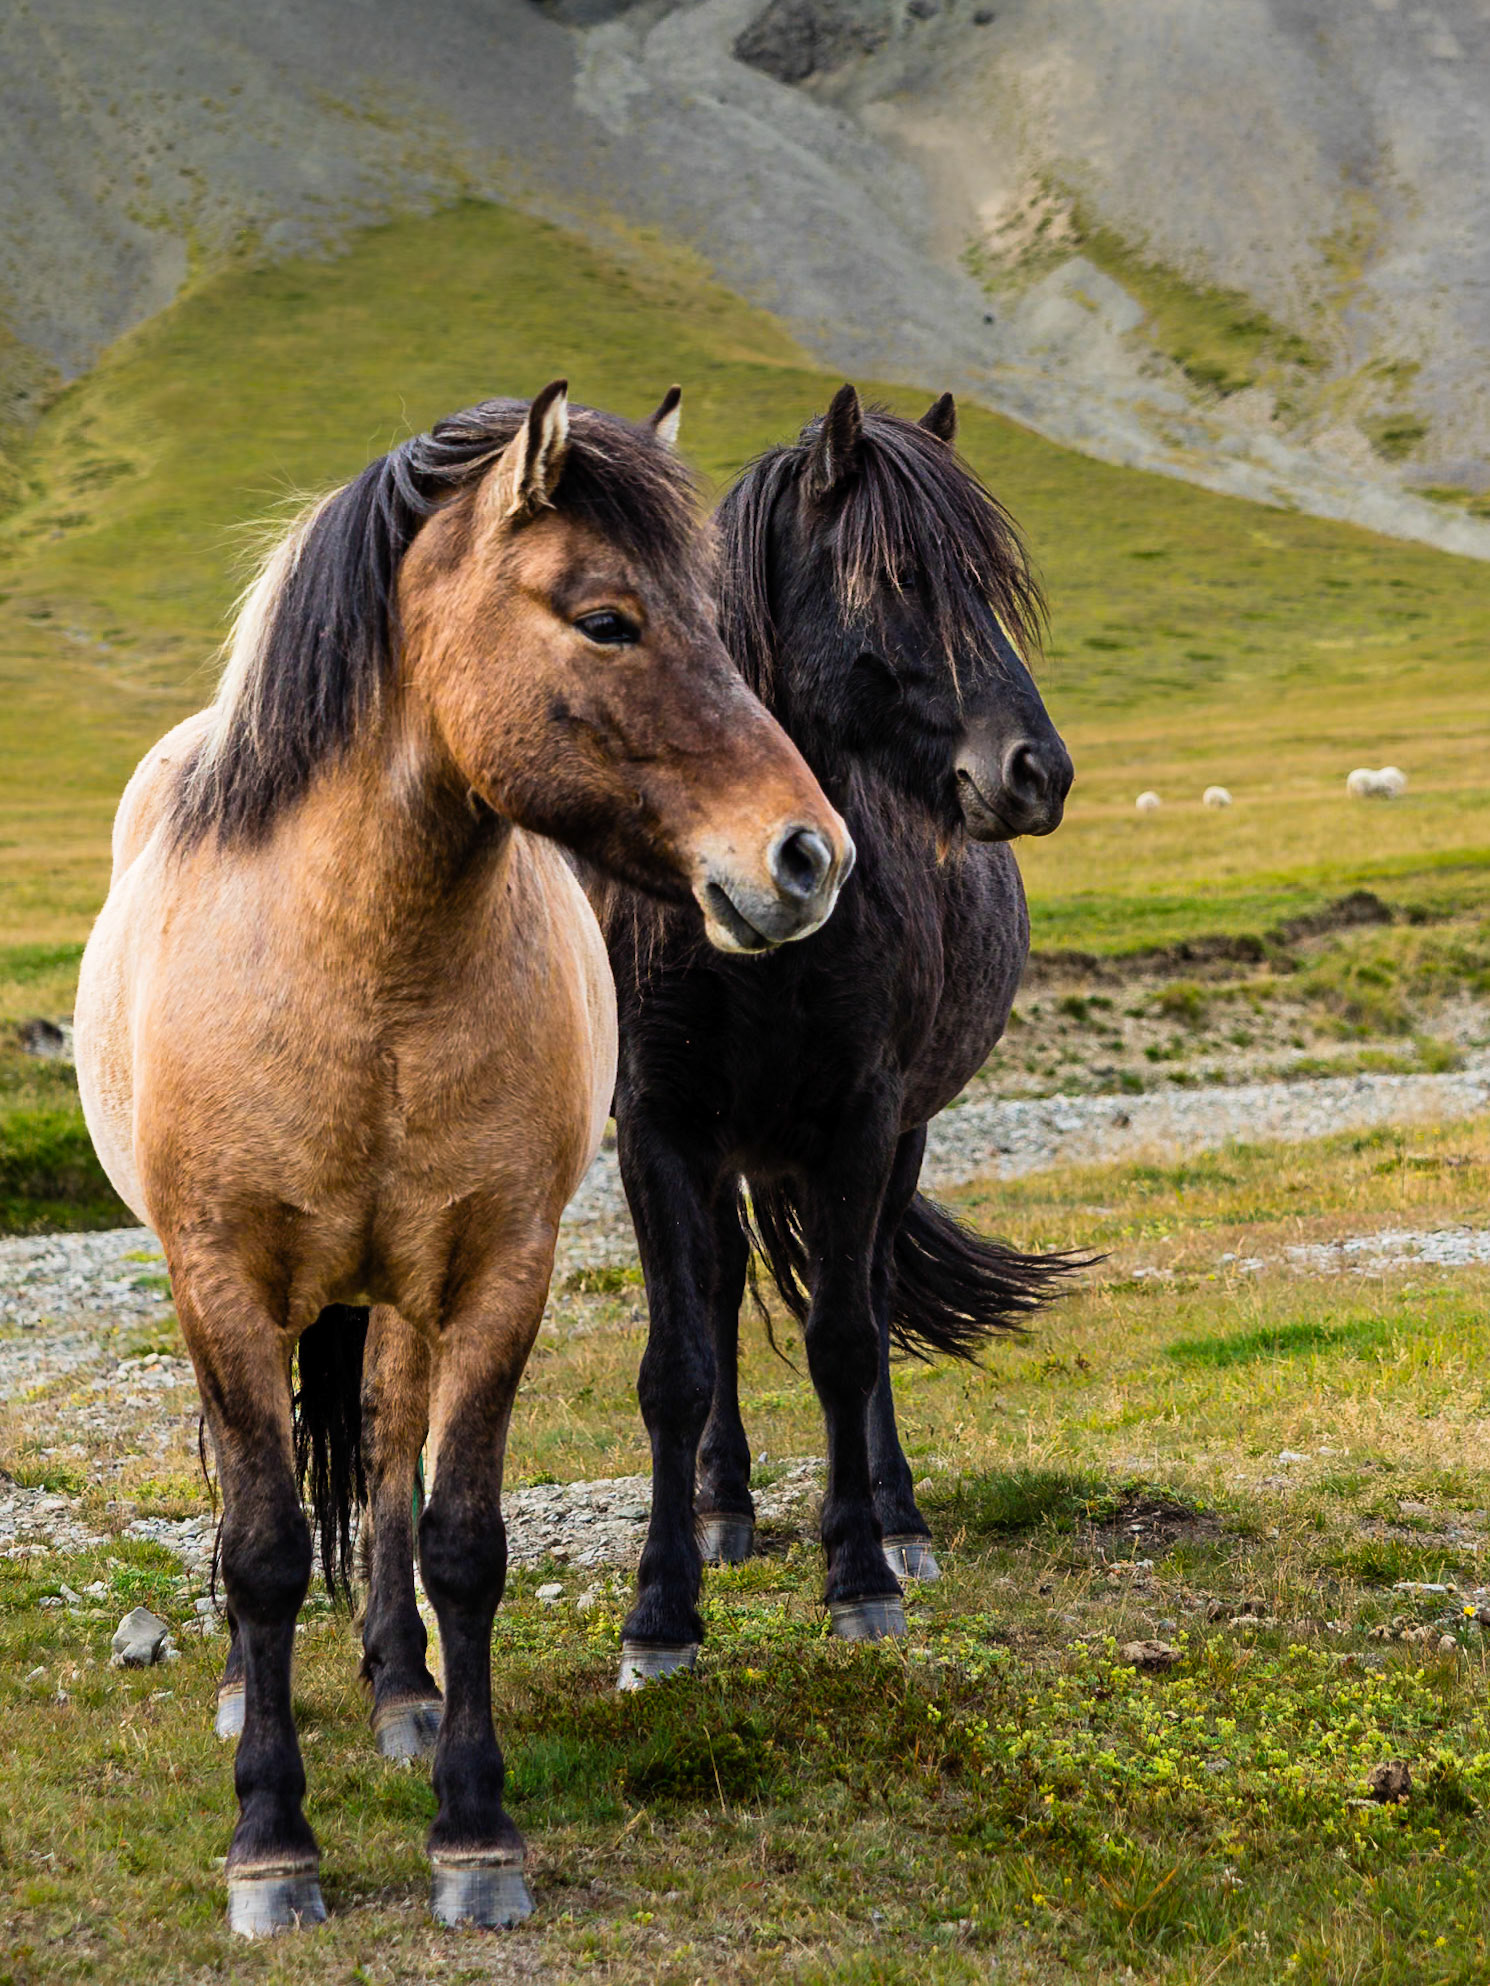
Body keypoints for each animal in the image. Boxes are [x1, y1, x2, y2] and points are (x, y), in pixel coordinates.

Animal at [73, 381, 853, 1938]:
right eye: (605, 619)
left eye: (713, 617)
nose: (809, 859)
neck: (363, 968)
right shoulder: (220, 1277)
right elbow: (260, 1541)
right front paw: (271, 1844)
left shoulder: (497, 1273)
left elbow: (461, 1539)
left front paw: (475, 1832)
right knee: (249, 1488)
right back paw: (250, 1686)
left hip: (392, 1295)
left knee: (379, 1454)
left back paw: (398, 1687)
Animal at [592, 385, 1082, 1680]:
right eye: (900, 576)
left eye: (987, 580)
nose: (1037, 772)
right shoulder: (656, 1126)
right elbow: (675, 1364)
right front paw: (660, 1612)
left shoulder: (859, 1121)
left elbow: (846, 1340)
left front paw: (861, 1572)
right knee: (719, 1295)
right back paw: (723, 1509)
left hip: (891, 1136)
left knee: (858, 1292)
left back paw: (897, 1519)